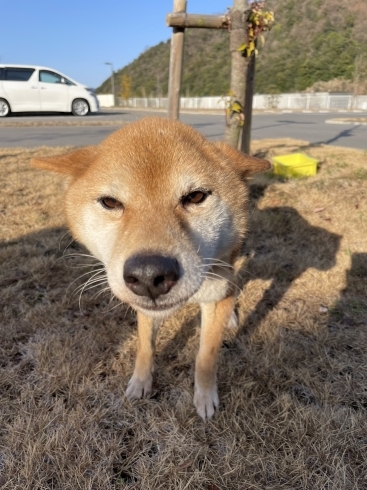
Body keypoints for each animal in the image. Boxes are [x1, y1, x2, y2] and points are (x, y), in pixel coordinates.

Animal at [30, 117, 270, 420]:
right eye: (110, 202)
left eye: (196, 196)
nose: (148, 275)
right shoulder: (144, 311)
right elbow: (145, 346)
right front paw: (140, 383)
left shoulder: (215, 293)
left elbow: (206, 355)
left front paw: (204, 396)